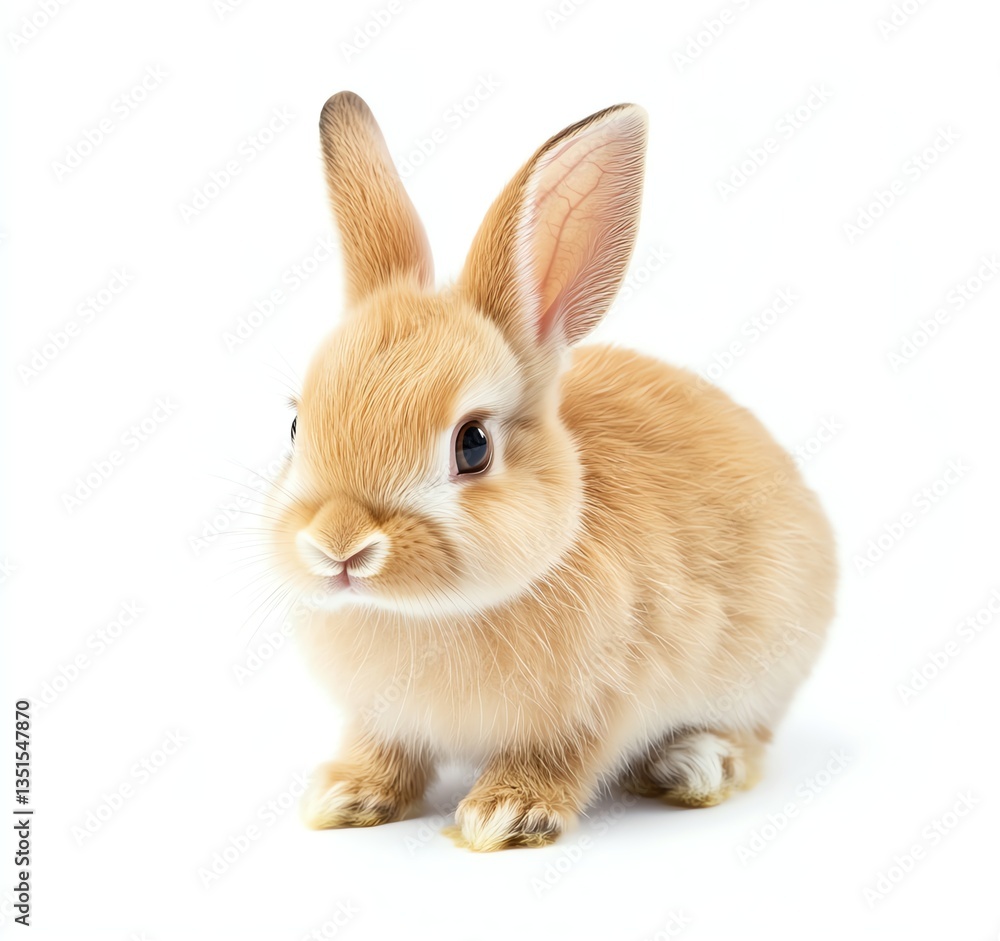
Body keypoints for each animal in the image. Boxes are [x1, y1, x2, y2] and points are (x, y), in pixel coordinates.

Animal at [261, 91, 837, 852]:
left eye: (473, 445)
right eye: (297, 426)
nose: (338, 545)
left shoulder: (599, 706)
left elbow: (561, 757)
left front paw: (505, 814)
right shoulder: (383, 718)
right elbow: (385, 750)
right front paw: (344, 795)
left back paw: (696, 762)